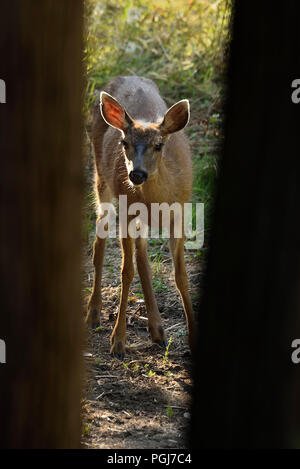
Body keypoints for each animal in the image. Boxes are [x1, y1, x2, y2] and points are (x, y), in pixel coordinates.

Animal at [85, 76, 196, 358]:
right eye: (125, 143)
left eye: (159, 145)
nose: (136, 174)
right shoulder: (126, 212)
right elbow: (126, 271)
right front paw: (118, 341)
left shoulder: (179, 214)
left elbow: (181, 276)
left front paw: (194, 338)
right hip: (101, 179)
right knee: (100, 239)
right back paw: (93, 313)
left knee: (142, 251)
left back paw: (157, 329)